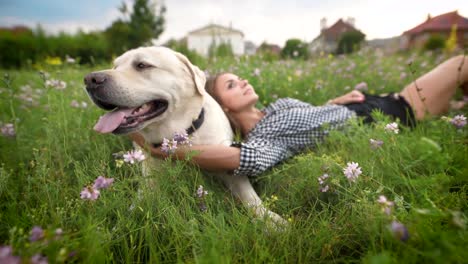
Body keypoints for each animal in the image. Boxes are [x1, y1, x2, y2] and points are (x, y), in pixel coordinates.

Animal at [85, 47, 286, 225]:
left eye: (142, 65)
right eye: (115, 66)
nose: (90, 79)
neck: (180, 135)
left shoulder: (231, 168)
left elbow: (251, 197)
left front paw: (273, 221)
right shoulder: (150, 180)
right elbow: (136, 207)